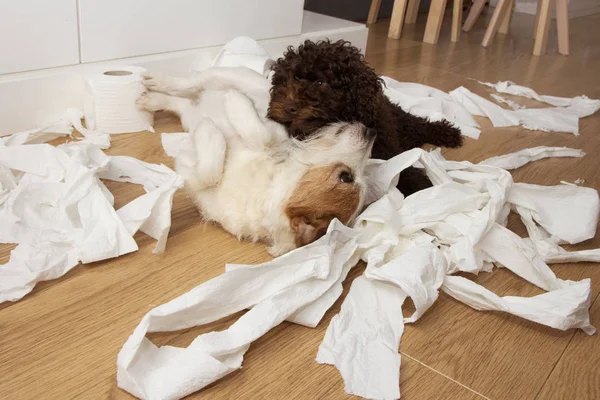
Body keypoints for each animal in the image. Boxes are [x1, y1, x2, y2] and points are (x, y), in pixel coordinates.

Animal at [268, 39, 464, 196]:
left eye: (321, 82)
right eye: (291, 78)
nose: (288, 107)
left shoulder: (388, 150)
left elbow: (403, 169)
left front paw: (423, 186)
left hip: (400, 119)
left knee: (419, 124)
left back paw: (450, 134)